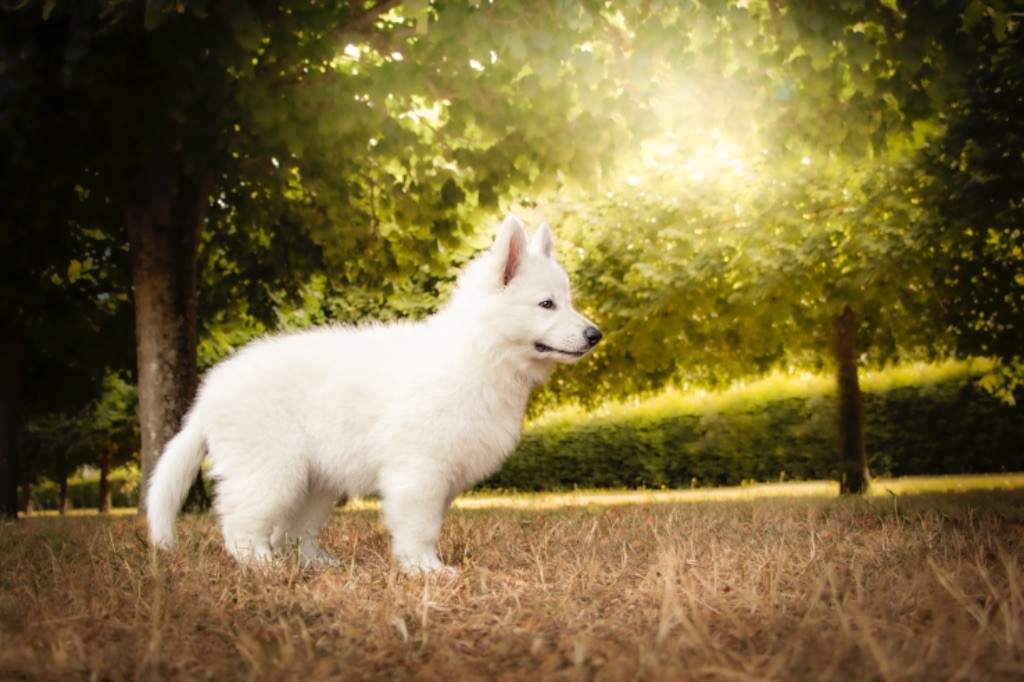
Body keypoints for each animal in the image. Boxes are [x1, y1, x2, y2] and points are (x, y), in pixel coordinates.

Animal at [148, 214, 602, 569]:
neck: (480, 352)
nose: (595, 335)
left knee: (293, 532)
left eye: (567, 301)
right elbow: (420, 527)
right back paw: (261, 566)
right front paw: (426, 570)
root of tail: (209, 393)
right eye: (546, 304)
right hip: (270, 469)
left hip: (314, 483)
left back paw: (315, 565)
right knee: (242, 522)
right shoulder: (419, 471)